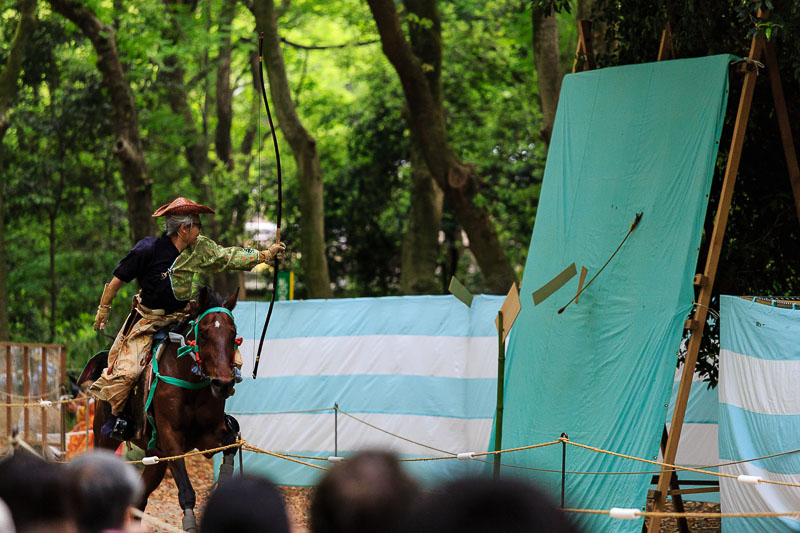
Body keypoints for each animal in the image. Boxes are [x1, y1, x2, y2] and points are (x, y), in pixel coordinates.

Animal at [91, 288, 241, 528]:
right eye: (204, 333)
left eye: (233, 332)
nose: (223, 383)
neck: (189, 380)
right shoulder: (171, 438)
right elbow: (186, 493)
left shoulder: (208, 436)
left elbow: (231, 440)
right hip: (103, 436)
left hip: (154, 456)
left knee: (140, 499)